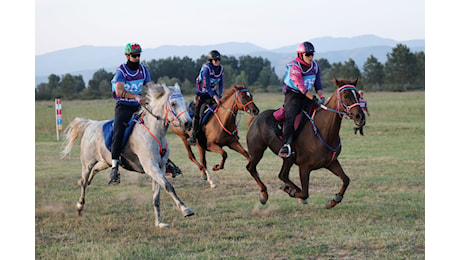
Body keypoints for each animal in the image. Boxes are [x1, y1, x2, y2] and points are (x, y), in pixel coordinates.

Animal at [60, 83, 193, 228]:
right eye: (173, 104)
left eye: (185, 103)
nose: (188, 123)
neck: (154, 131)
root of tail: (90, 124)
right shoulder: (150, 167)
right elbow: (169, 186)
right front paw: (185, 210)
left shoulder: (160, 167)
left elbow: (157, 196)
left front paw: (159, 223)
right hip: (87, 163)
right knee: (84, 182)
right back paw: (79, 205)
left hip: (105, 161)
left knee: (94, 172)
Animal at [246, 77, 364, 209]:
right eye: (346, 96)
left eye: (358, 95)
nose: (360, 116)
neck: (323, 131)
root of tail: (256, 118)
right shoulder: (304, 167)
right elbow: (305, 193)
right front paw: (291, 191)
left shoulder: (331, 162)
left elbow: (346, 179)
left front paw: (333, 200)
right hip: (257, 152)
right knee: (251, 168)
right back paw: (264, 194)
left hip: (287, 159)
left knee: (282, 175)